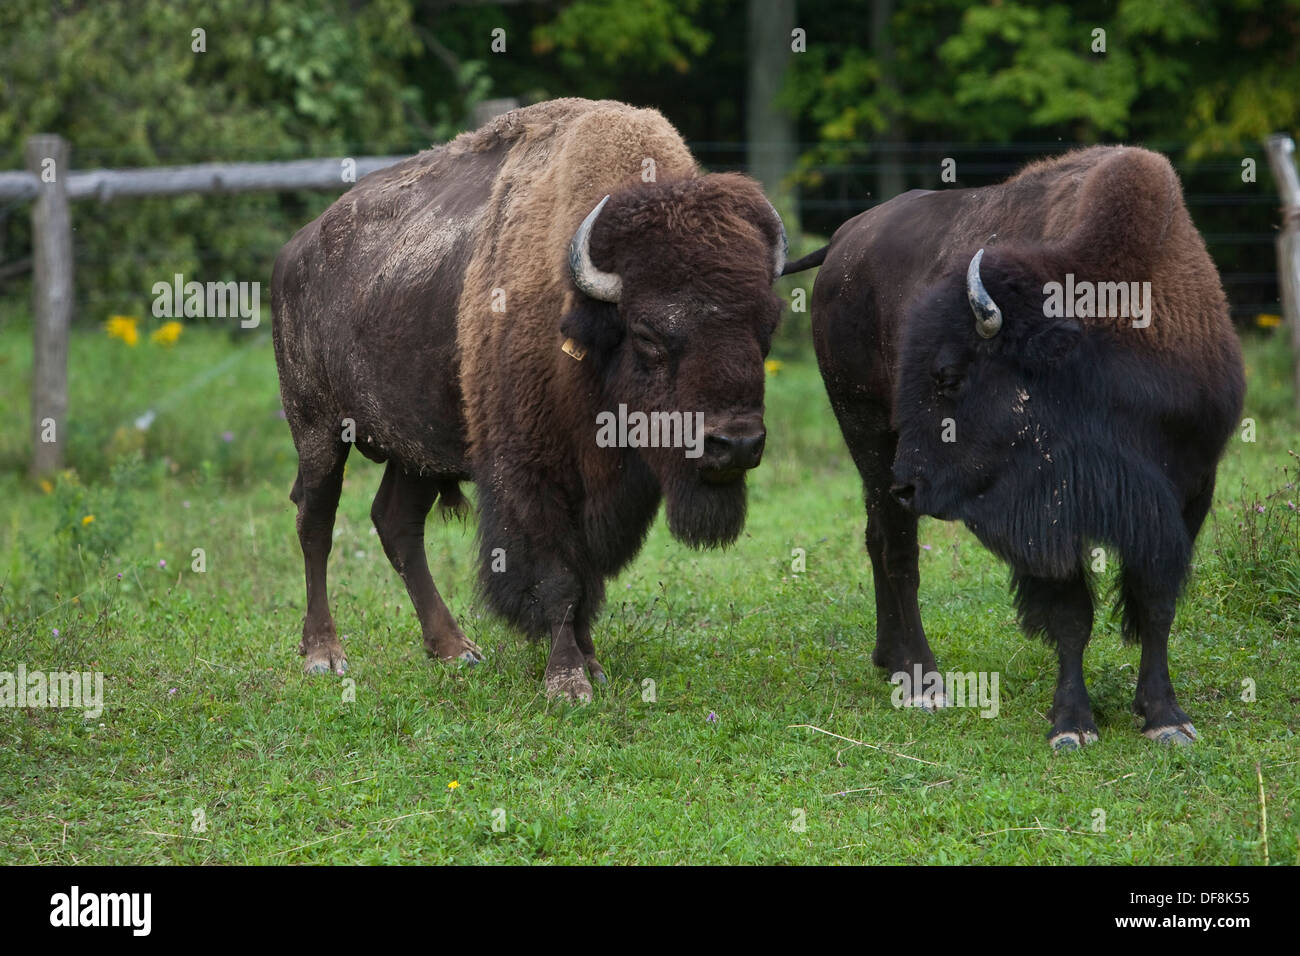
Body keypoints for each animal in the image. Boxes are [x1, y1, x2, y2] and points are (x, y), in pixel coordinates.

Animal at [269, 98, 785, 702]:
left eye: (767, 327)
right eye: (648, 334)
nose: (737, 444)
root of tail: (295, 251)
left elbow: (586, 575)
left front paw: (591, 662)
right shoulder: (531, 470)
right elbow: (558, 574)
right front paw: (568, 682)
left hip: (416, 450)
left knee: (395, 522)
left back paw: (455, 648)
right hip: (318, 431)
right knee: (316, 523)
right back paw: (324, 654)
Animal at [785, 145, 1242, 749]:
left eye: (949, 376)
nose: (911, 482)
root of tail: (843, 239)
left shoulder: (1187, 493)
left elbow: (1155, 602)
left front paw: (1166, 718)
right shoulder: (1050, 513)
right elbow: (1071, 613)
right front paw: (1072, 725)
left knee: (877, 535)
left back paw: (889, 660)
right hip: (867, 434)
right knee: (896, 545)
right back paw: (922, 681)